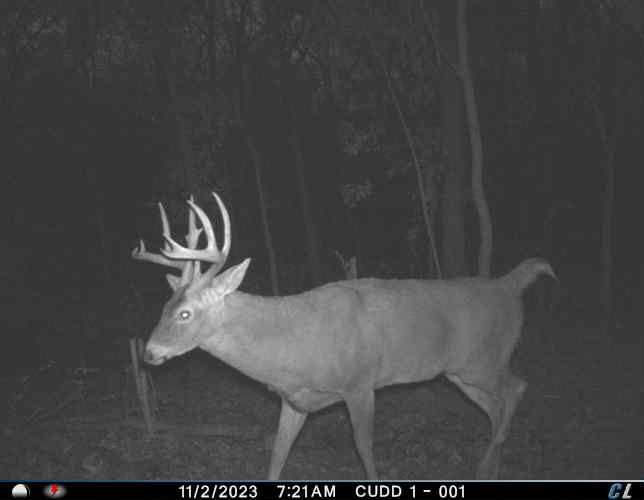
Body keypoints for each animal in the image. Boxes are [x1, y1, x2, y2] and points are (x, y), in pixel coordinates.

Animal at [132, 191, 555, 479]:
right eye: (163, 307)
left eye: (185, 313)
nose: (149, 352)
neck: (290, 349)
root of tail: (509, 285)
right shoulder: (295, 400)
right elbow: (277, 453)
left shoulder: (360, 383)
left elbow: (363, 447)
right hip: (459, 373)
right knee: (495, 408)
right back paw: (490, 469)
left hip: (483, 360)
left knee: (518, 388)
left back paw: (485, 464)